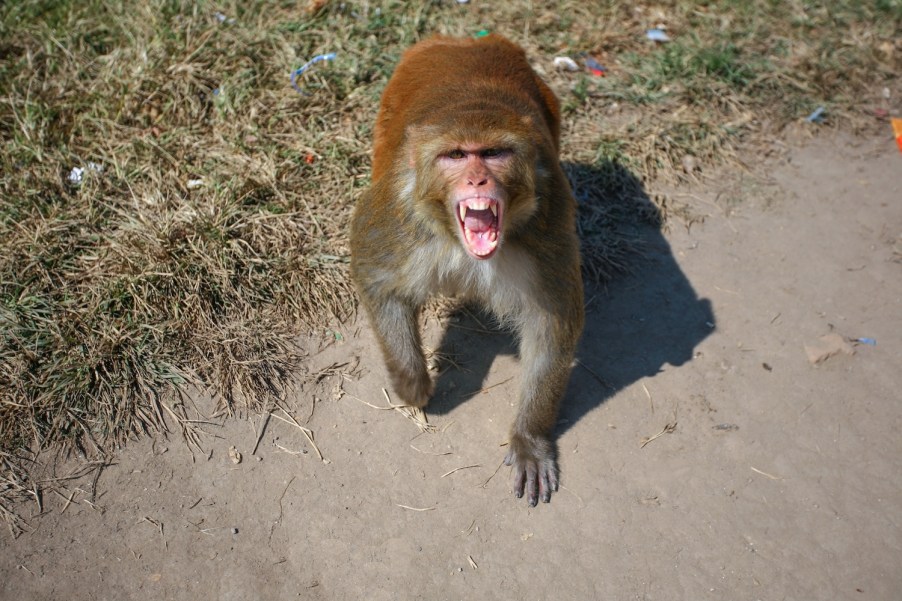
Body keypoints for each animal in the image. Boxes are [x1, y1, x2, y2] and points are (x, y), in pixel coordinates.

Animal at [350, 34, 584, 506]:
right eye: (456, 155)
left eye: (493, 153)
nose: (477, 180)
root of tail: (465, 41)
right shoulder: (400, 214)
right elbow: (376, 277)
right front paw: (412, 382)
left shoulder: (548, 222)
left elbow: (551, 324)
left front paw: (530, 439)